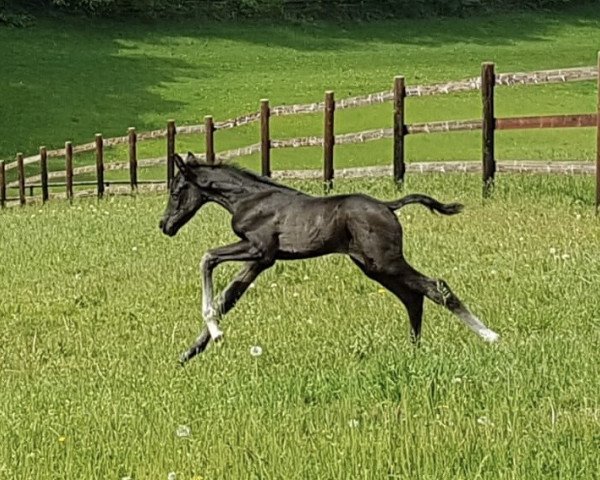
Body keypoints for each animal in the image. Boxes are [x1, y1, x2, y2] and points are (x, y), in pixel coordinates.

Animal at [158, 154, 496, 364]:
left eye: (175, 191)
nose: (165, 225)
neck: (250, 199)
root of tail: (388, 205)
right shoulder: (262, 260)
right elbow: (227, 298)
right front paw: (190, 352)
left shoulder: (259, 249)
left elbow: (207, 258)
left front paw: (214, 332)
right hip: (374, 267)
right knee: (414, 296)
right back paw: (414, 349)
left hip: (385, 262)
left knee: (436, 287)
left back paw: (491, 336)